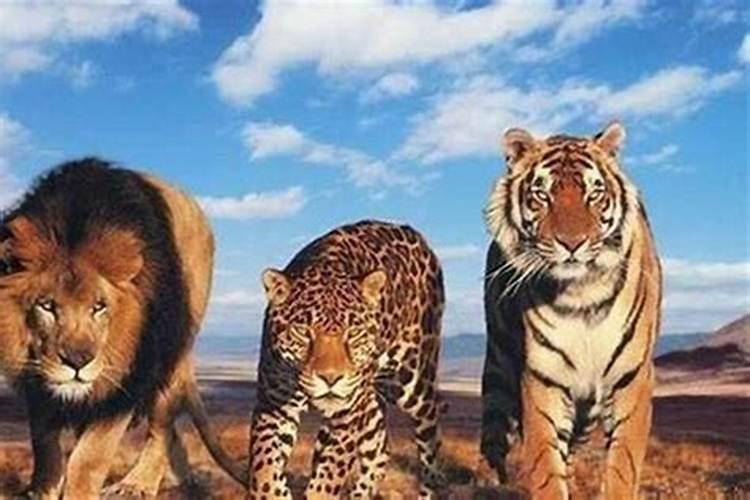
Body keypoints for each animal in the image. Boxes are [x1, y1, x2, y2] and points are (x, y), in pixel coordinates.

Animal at [247, 220, 445, 499]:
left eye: (353, 331)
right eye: (303, 331)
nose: (331, 378)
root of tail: (409, 230)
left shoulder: (346, 415)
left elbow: (329, 475)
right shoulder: (274, 405)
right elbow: (264, 467)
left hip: (413, 382)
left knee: (430, 443)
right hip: (369, 400)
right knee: (379, 451)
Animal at [480, 122, 662, 499]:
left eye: (594, 194)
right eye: (542, 195)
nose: (572, 243)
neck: (581, 294)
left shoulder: (631, 378)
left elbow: (622, 466)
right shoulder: (542, 378)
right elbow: (546, 467)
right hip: (500, 362)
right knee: (493, 429)